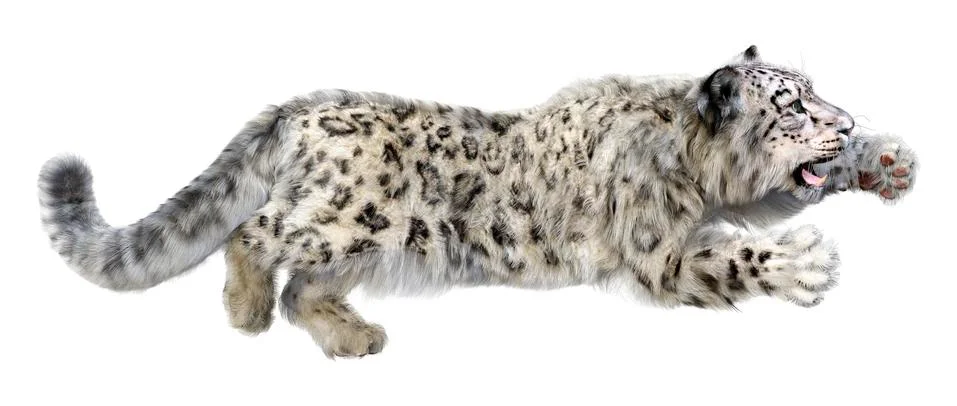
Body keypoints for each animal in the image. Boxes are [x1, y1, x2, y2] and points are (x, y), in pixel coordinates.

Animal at [38, 46, 917, 358]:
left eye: (816, 93)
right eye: (792, 106)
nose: (841, 123)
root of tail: (301, 107)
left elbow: (770, 206)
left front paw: (885, 160)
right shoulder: (658, 252)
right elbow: (734, 255)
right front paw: (804, 265)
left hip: (369, 239)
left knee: (303, 288)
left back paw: (353, 337)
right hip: (339, 218)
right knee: (254, 231)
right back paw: (246, 309)